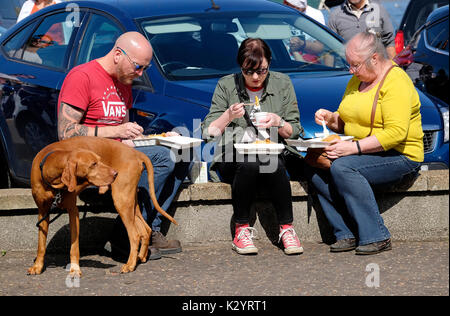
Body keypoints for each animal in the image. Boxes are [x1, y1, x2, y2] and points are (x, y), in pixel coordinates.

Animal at [26, 136, 178, 276]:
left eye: (100, 160)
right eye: (93, 164)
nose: (115, 173)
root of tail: (135, 152)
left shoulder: (73, 211)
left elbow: (74, 247)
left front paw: (75, 269)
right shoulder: (42, 212)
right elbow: (41, 244)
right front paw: (38, 266)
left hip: (121, 200)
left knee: (135, 235)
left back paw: (130, 264)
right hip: (130, 202)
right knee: (145, 230)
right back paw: (140, 258)